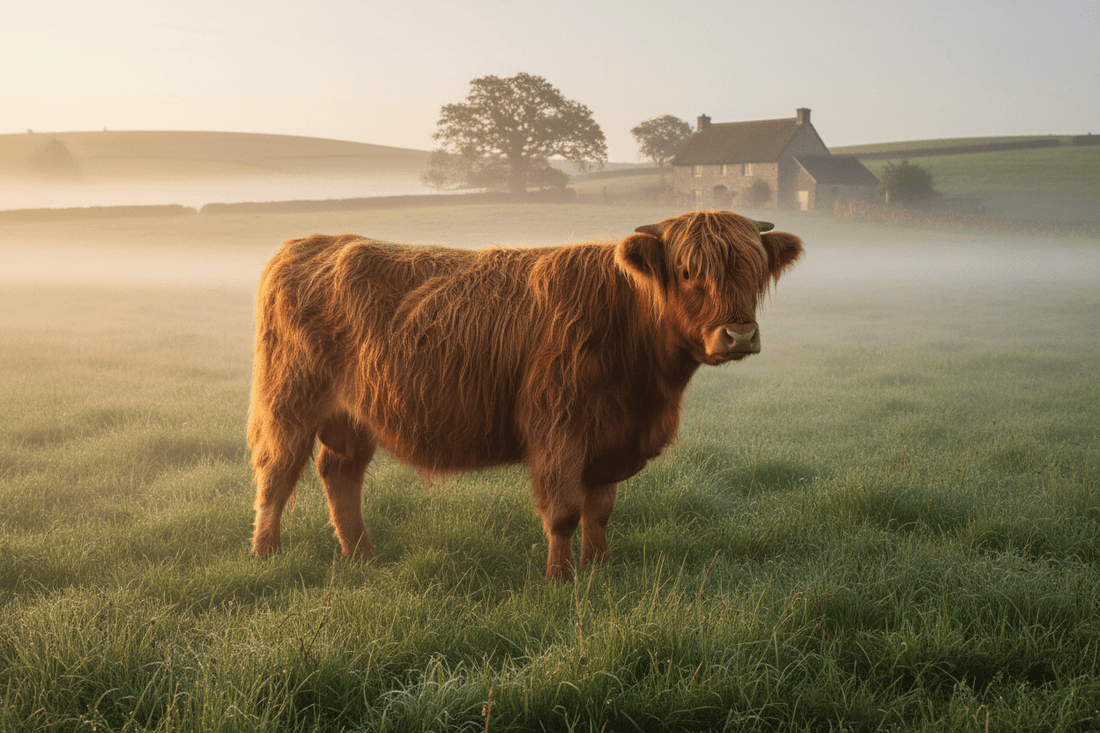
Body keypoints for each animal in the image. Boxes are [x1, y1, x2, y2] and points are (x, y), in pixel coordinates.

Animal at [248, 210, 803, 579]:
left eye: (755, 270)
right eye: (688, 272)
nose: (739, 335)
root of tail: (307, 243)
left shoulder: (608, 439)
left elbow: (600, 511)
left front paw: (599, 569)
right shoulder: (559, 431)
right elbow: (564, 512)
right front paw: (561, 578)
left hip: (354, 415)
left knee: (339, 474)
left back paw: (360, 555)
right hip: (290, 402)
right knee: (277, 473)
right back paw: (265, 553)